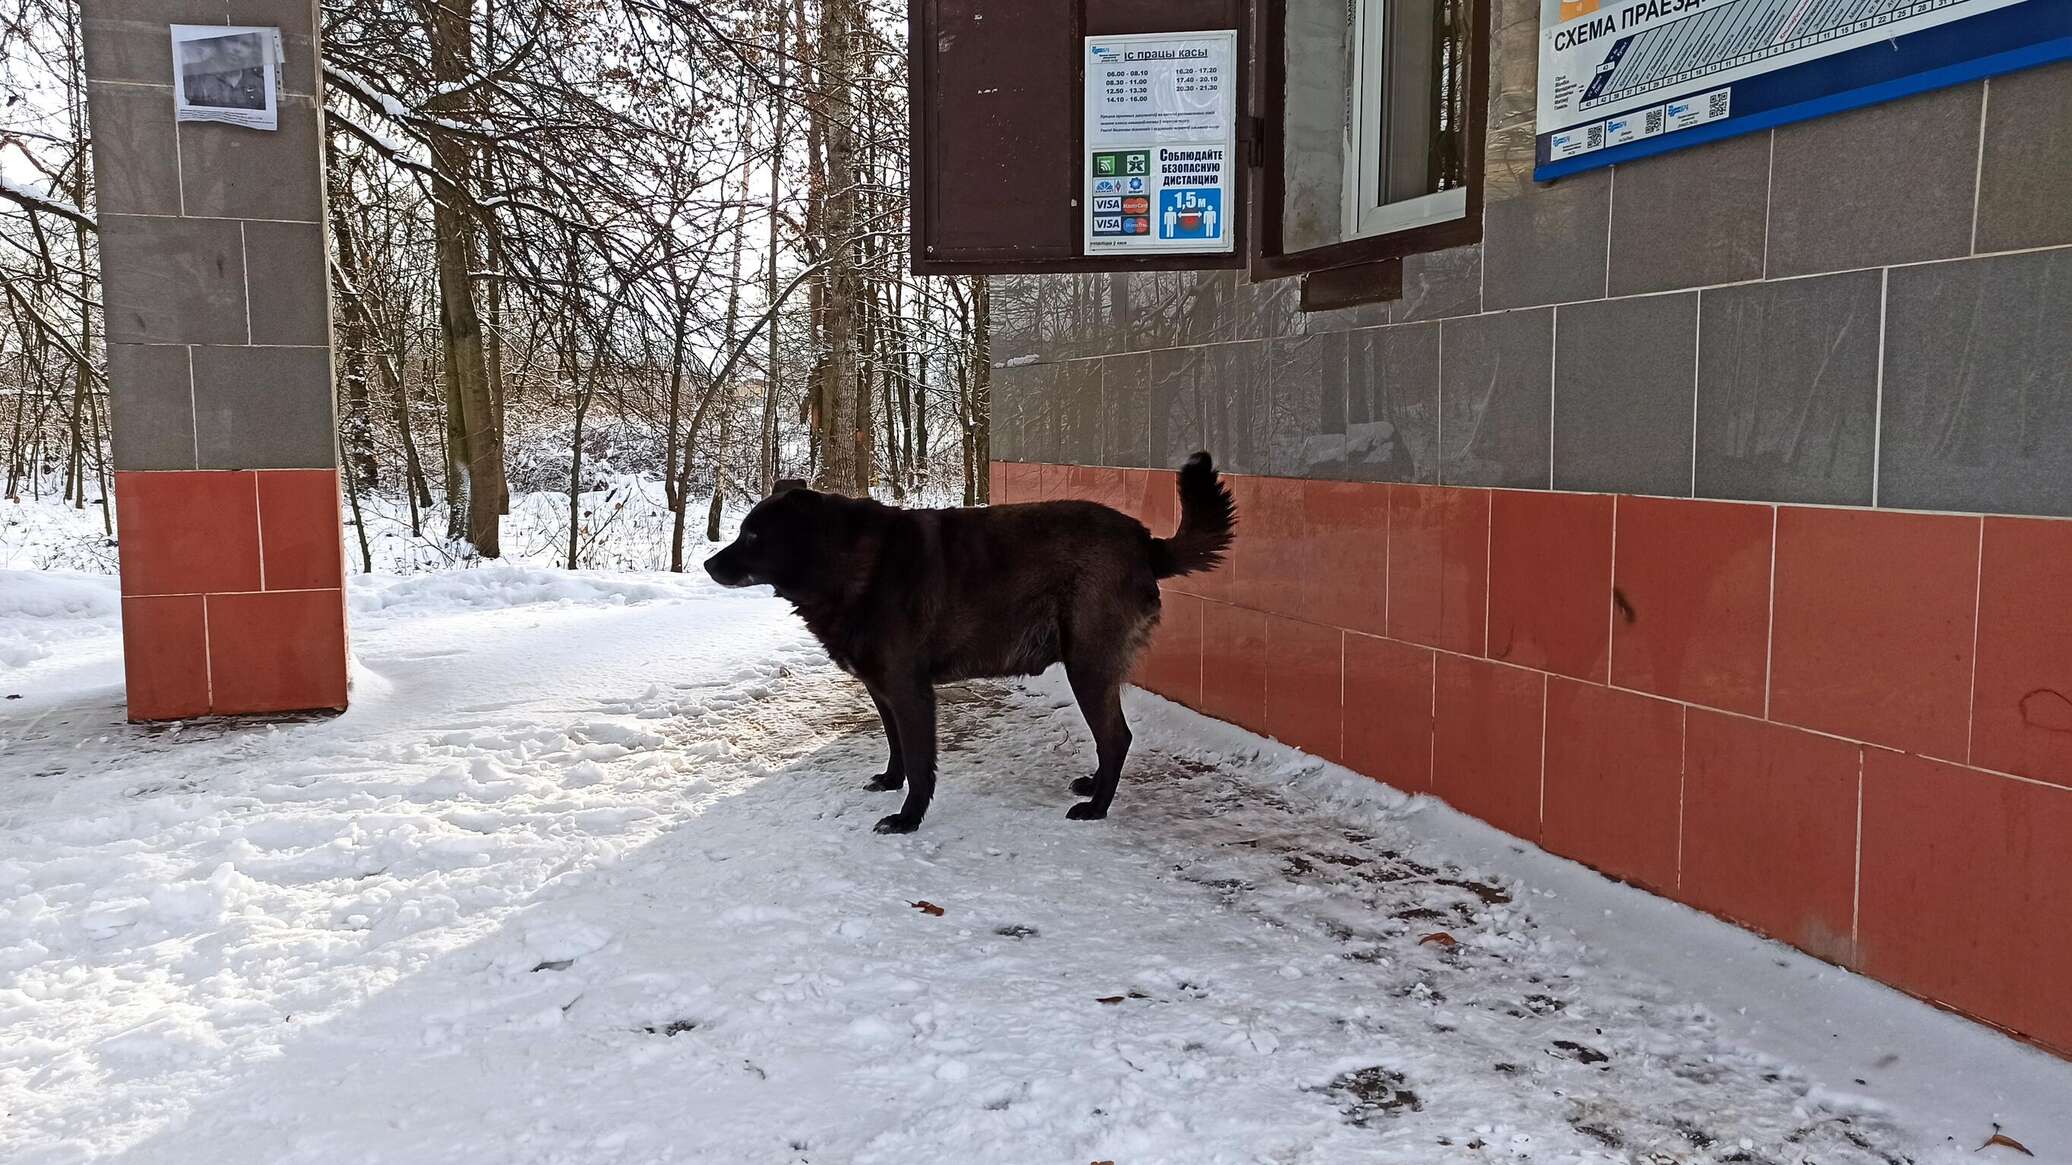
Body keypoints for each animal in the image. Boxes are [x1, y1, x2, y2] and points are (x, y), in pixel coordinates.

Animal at [704, 451, 1234, 825]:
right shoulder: (883, 689)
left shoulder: (910, 691)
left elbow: (921, 761)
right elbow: (897, 746)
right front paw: (891, 782)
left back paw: (1097, 808)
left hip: (1088, 666)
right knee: (1112, 739)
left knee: (1117, 737)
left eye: (753, 537)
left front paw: (908, 818)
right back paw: (1093, 789)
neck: (846, 559)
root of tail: (1145, 542)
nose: (708, 564)